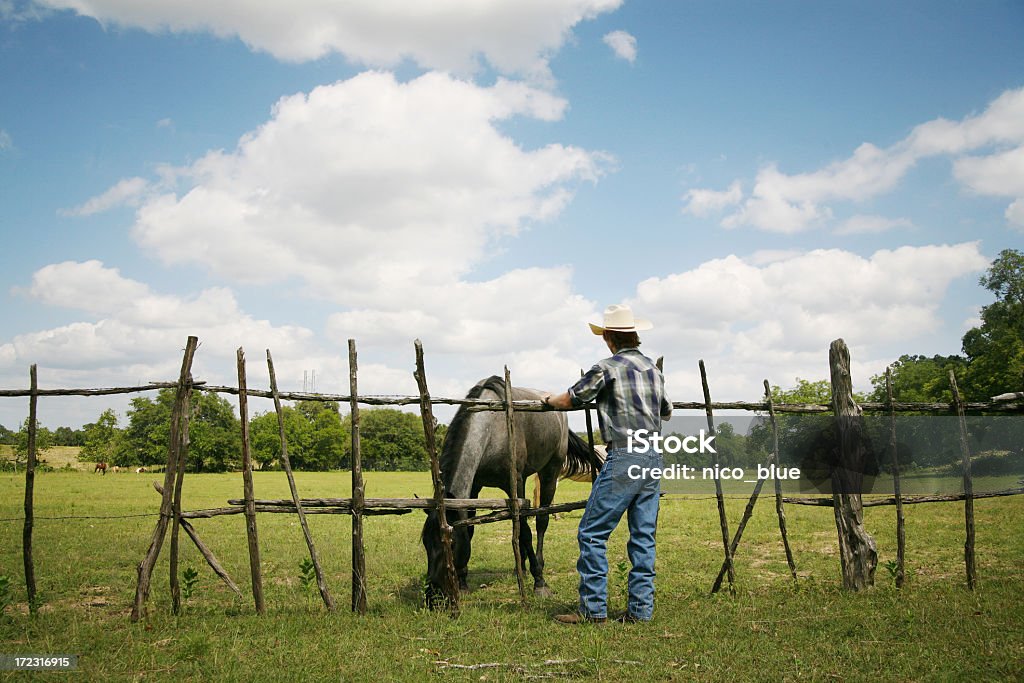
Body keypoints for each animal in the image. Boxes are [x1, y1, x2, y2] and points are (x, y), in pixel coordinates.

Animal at [421, 376, 598, 606]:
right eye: (426, 543)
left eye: (450, 543)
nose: (432, 596)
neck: (491, 429)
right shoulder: (474, 488)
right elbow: (472, 528)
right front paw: (463, 583)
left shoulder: (517, 482)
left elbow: (526, 532)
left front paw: (540, 583)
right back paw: (519, 568)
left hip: (550, 472)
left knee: (541, 522)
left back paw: (536, 566)